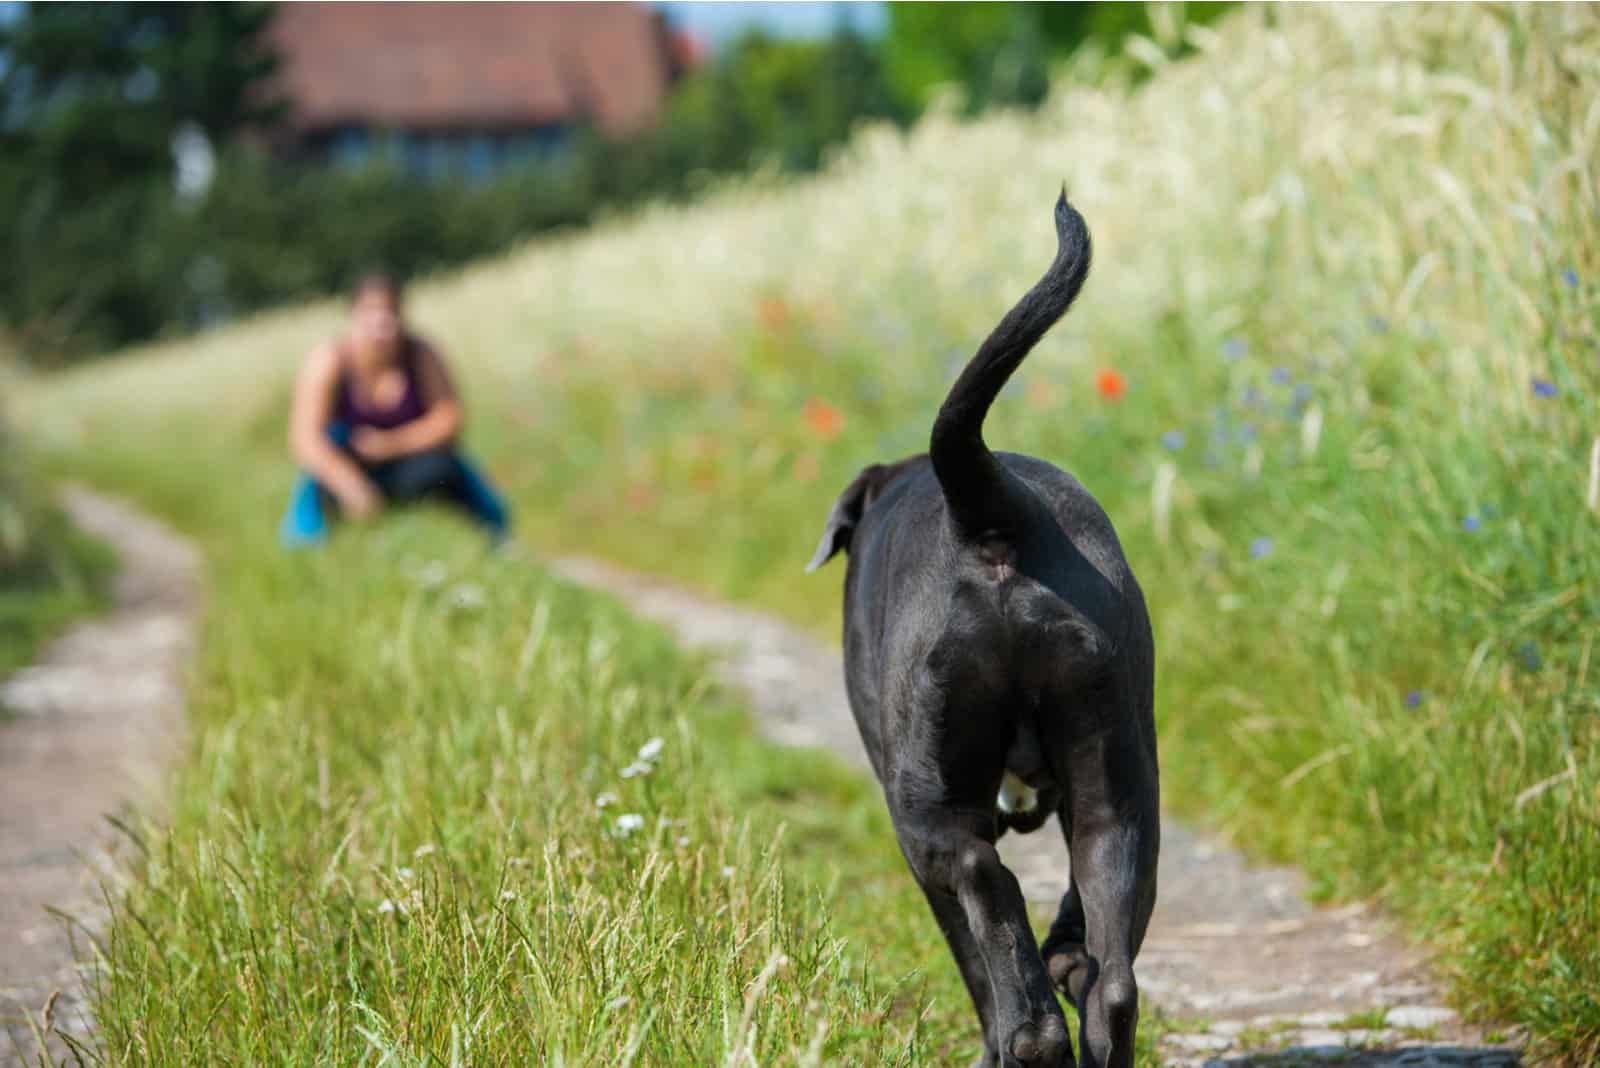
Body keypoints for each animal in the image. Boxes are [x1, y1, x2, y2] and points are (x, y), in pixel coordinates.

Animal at [806, 194, 1158, 1068]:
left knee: (986, 886)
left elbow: (973, 954)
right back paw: (1076, 979)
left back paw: (1029, 1034)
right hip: (1118, 774)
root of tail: (993, 510)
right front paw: (1067, 950)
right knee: (1112, 975)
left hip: (926, 804)